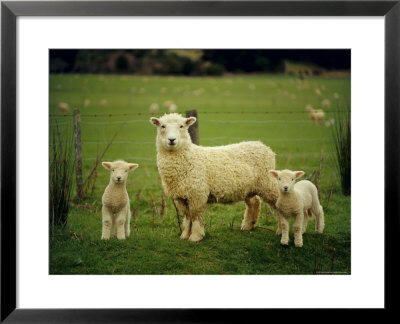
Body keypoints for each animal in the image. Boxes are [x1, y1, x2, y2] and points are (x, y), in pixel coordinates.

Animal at [149, 112, 278, 242]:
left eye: (181, 126)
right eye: (162, 126)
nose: (172, 140)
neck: (189, 158)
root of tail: (263, 145)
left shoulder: (197, 194)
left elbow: (195, 216)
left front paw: (195, 237)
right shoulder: (181, 196)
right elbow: (187, 216)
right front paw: (185, 235)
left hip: (267, 182)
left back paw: (280, 231)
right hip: (248, 187)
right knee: (254, 202)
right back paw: (247, 226)